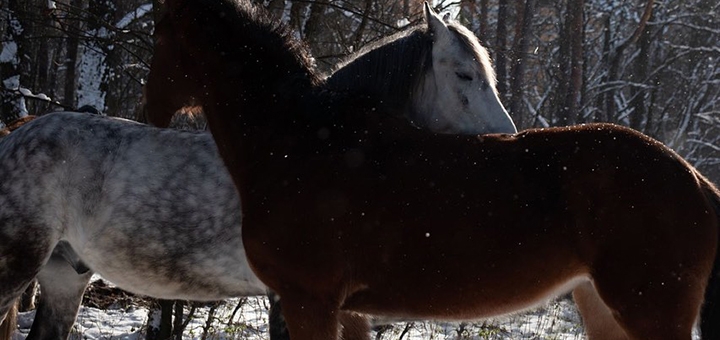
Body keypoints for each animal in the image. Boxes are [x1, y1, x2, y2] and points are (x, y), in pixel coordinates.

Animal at [146, 0, 720, 340]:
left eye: (159, 32)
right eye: (464, 74)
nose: (150, 108)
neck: (302, 143)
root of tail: (694, 179)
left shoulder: (310, 303)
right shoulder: (347, 311)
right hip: (601, 308)